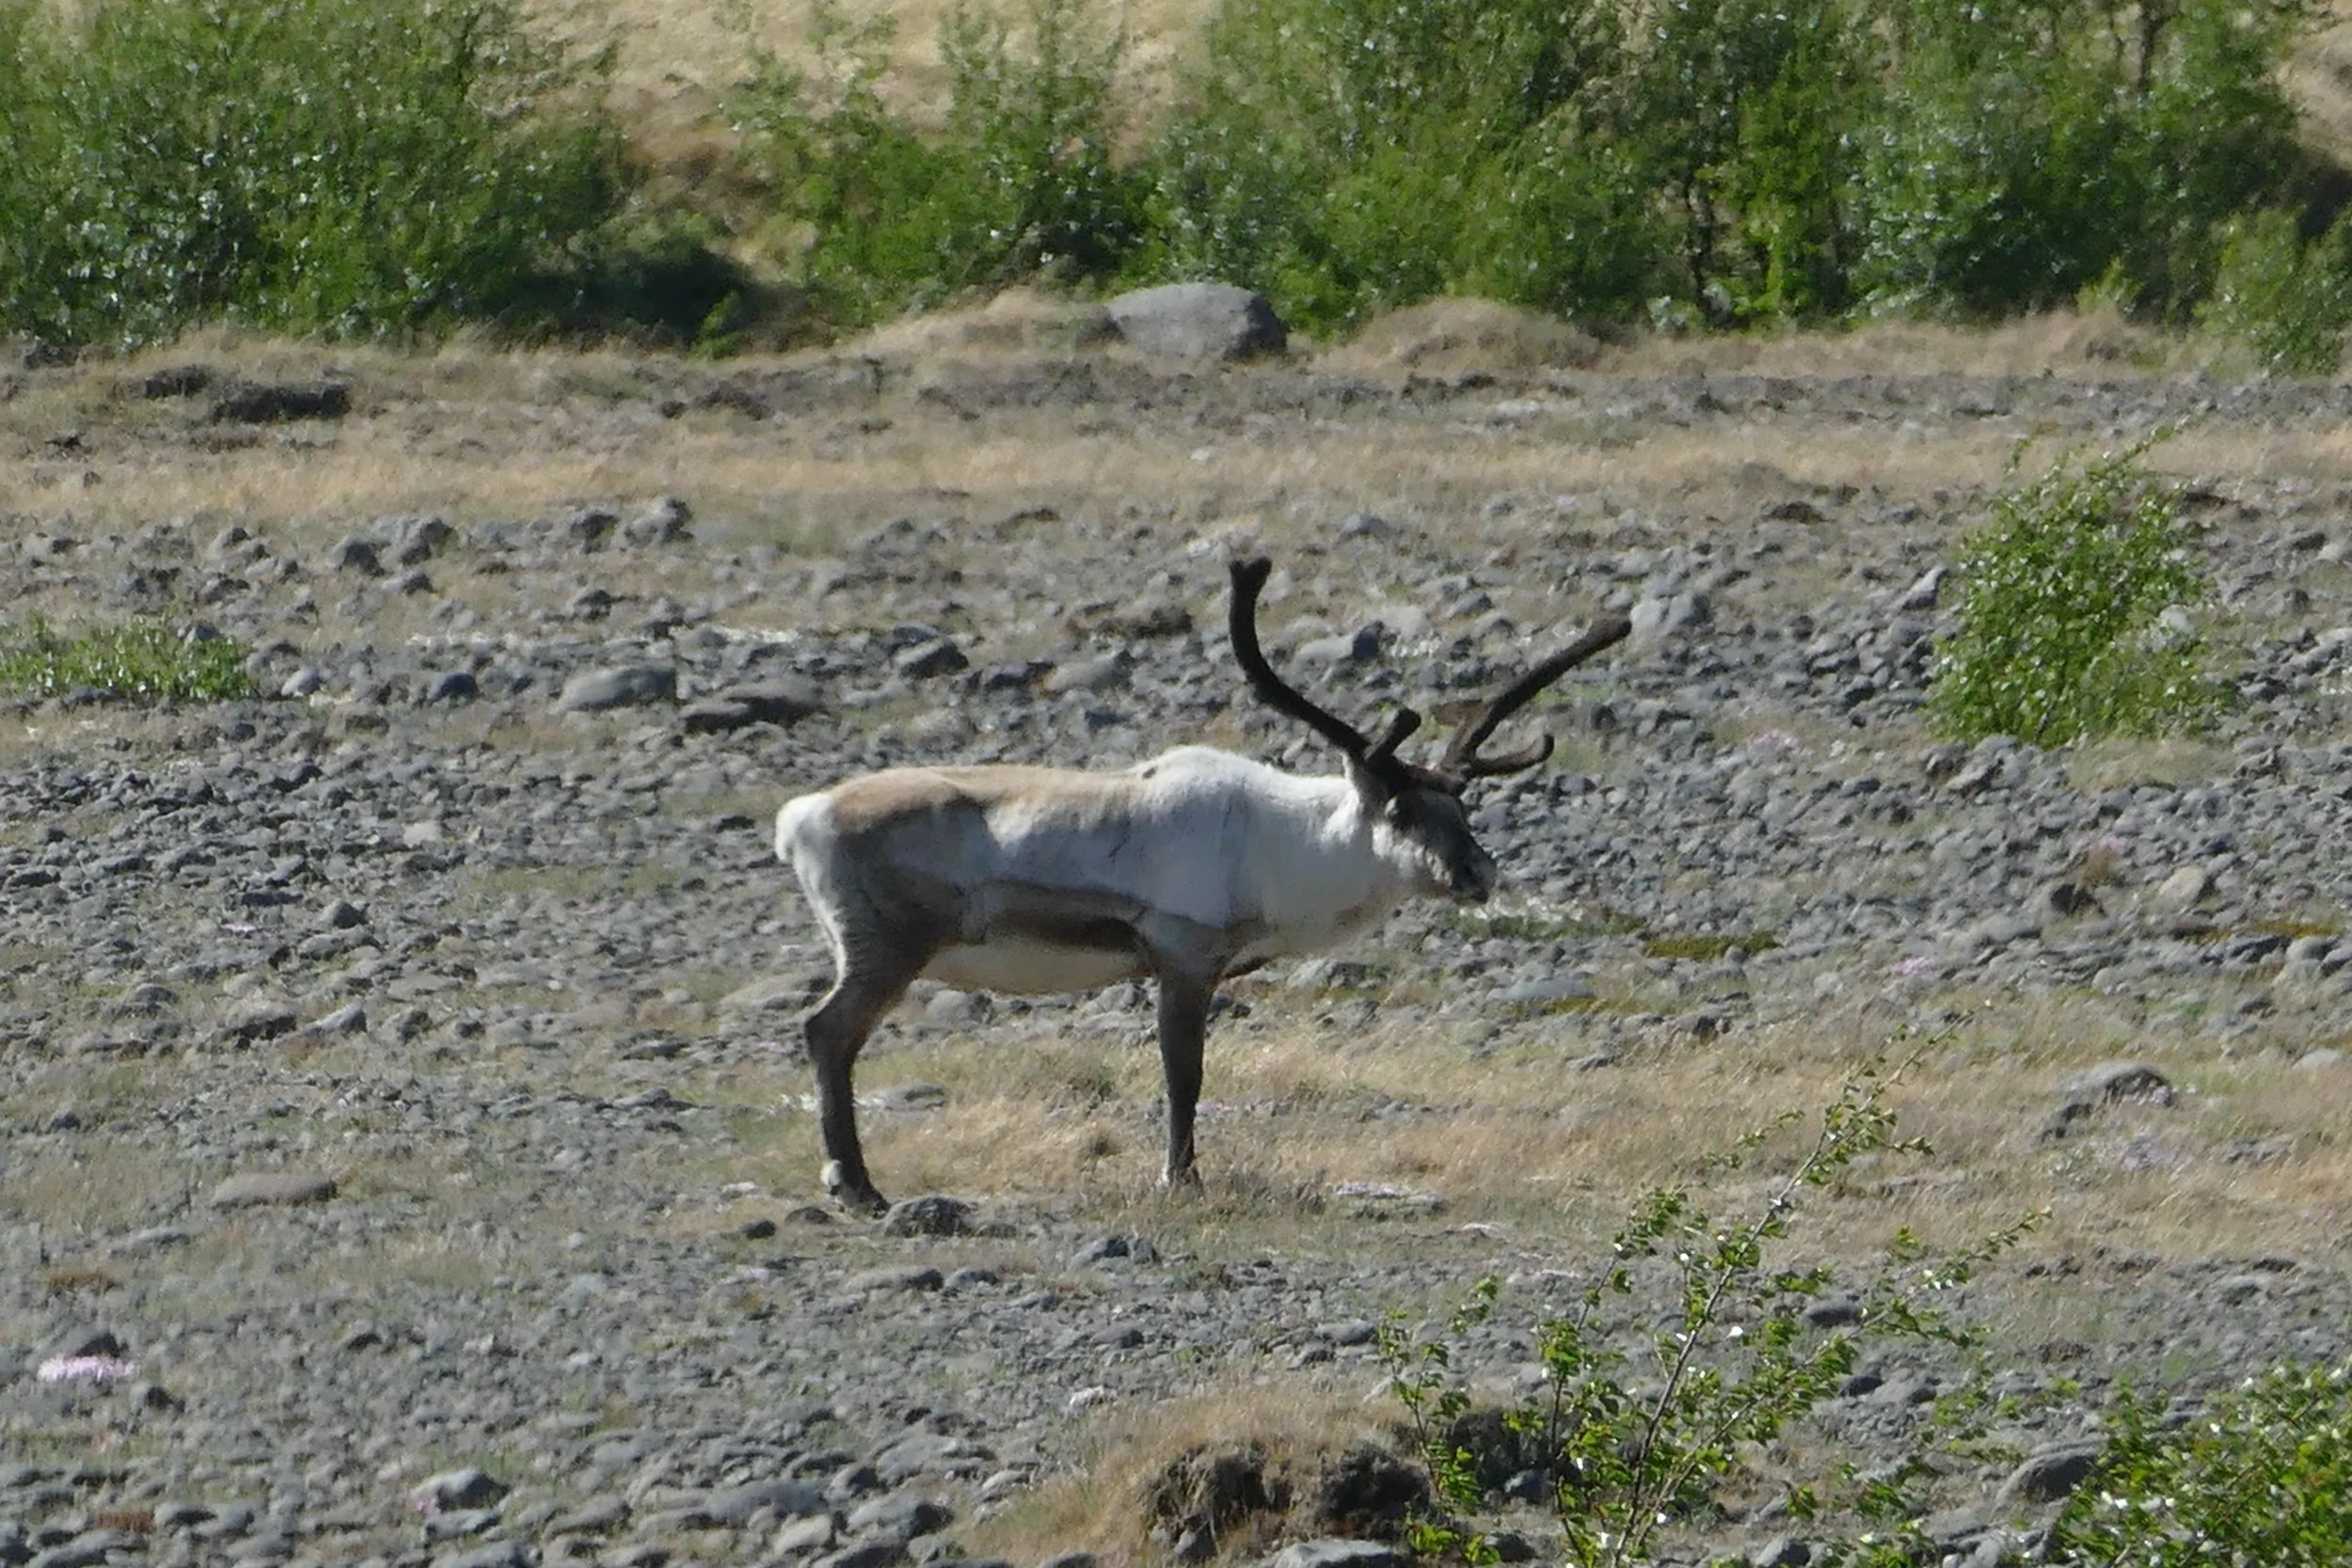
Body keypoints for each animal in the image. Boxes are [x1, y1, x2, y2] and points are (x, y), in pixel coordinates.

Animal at [774, 556, 1631, 1214]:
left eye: (1461, 806)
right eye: (1399, 808)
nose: (1477, 872)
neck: (1285, 843)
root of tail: (800, 814)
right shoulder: (1184, 953)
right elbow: (1183, 1072)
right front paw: (1180, 1179)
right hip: (885, 947)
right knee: (826, 1031)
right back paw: (858, 1188)